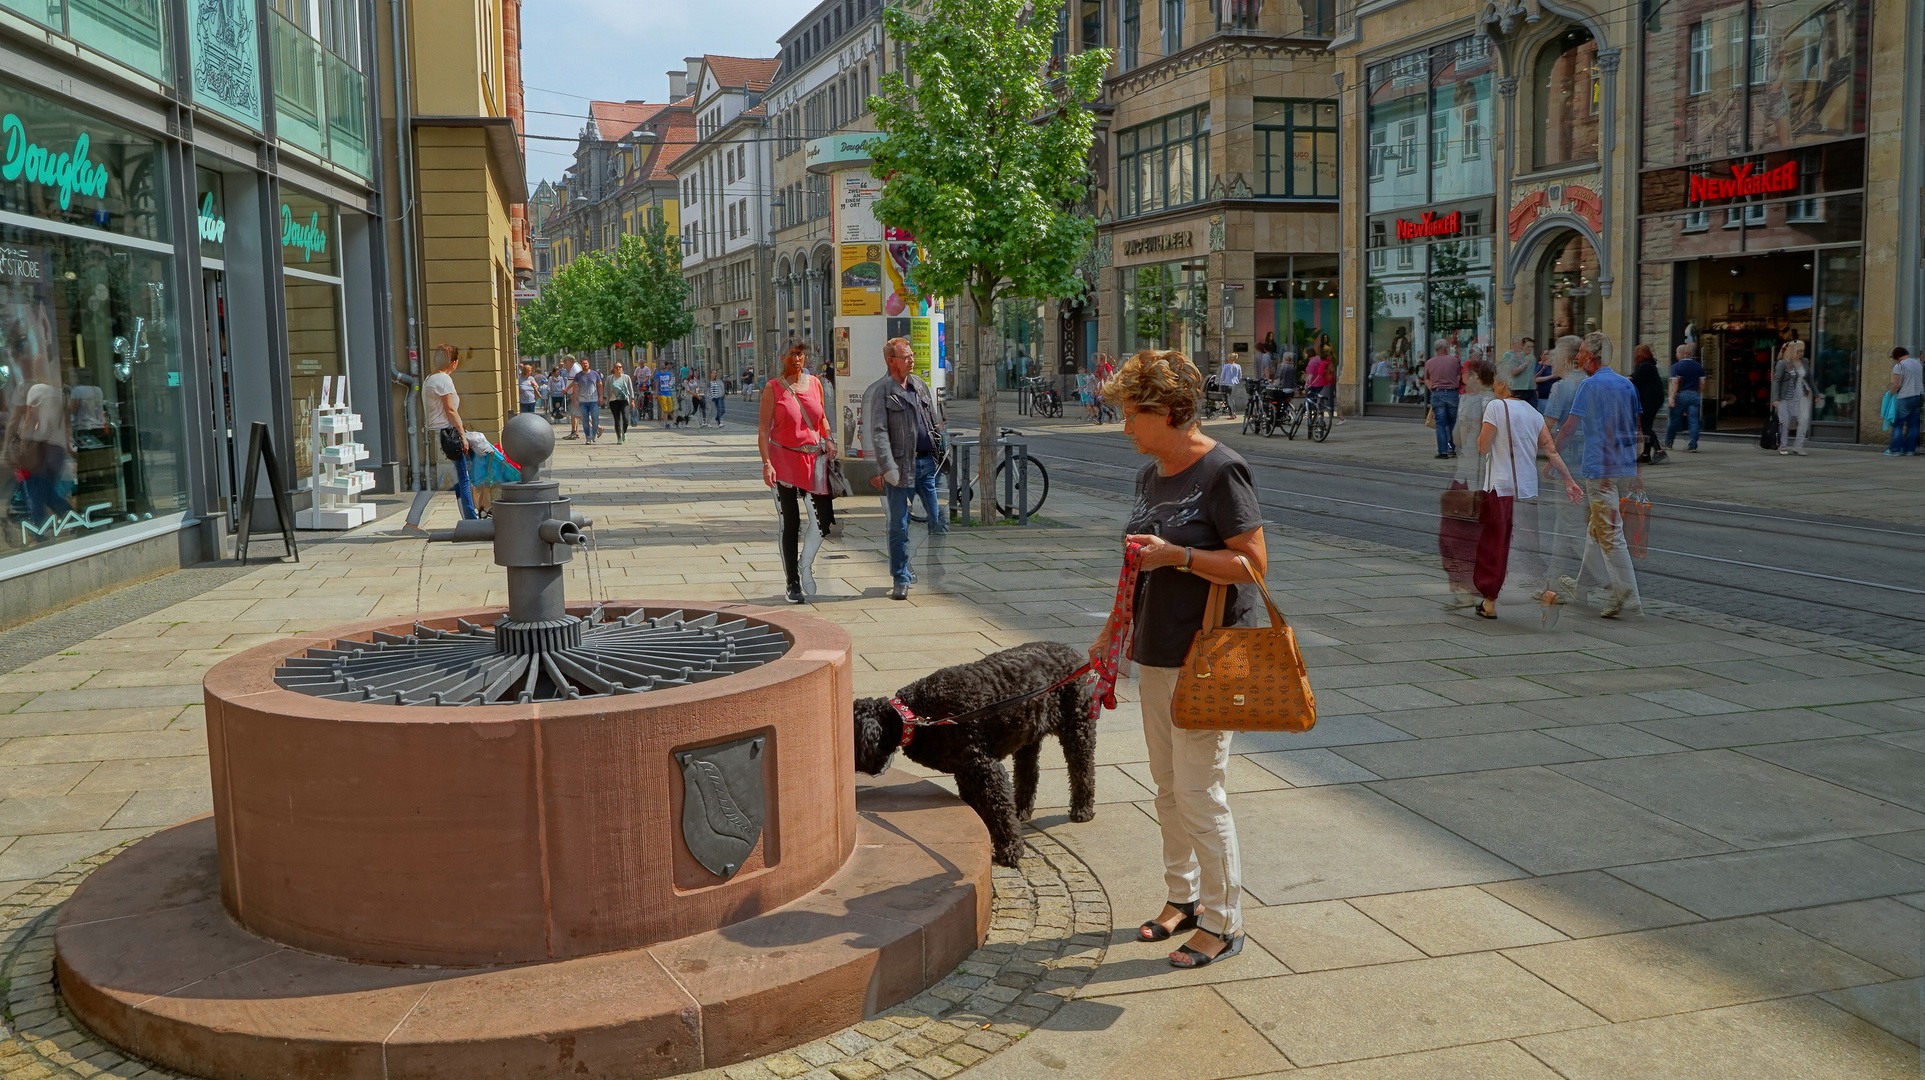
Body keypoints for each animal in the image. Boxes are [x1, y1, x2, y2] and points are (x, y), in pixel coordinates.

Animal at [858, 639, 1101, 866]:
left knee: (1083, 769)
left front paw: (1010, 849)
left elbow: (998, 810)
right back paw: (1022, 810)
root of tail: (1073, 653)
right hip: (1028, 738)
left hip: (1077, 727)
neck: (914, 717)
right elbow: (976, 807)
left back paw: (1082, 808)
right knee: (1029, 775)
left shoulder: (985, 768)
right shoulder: (965, 772)